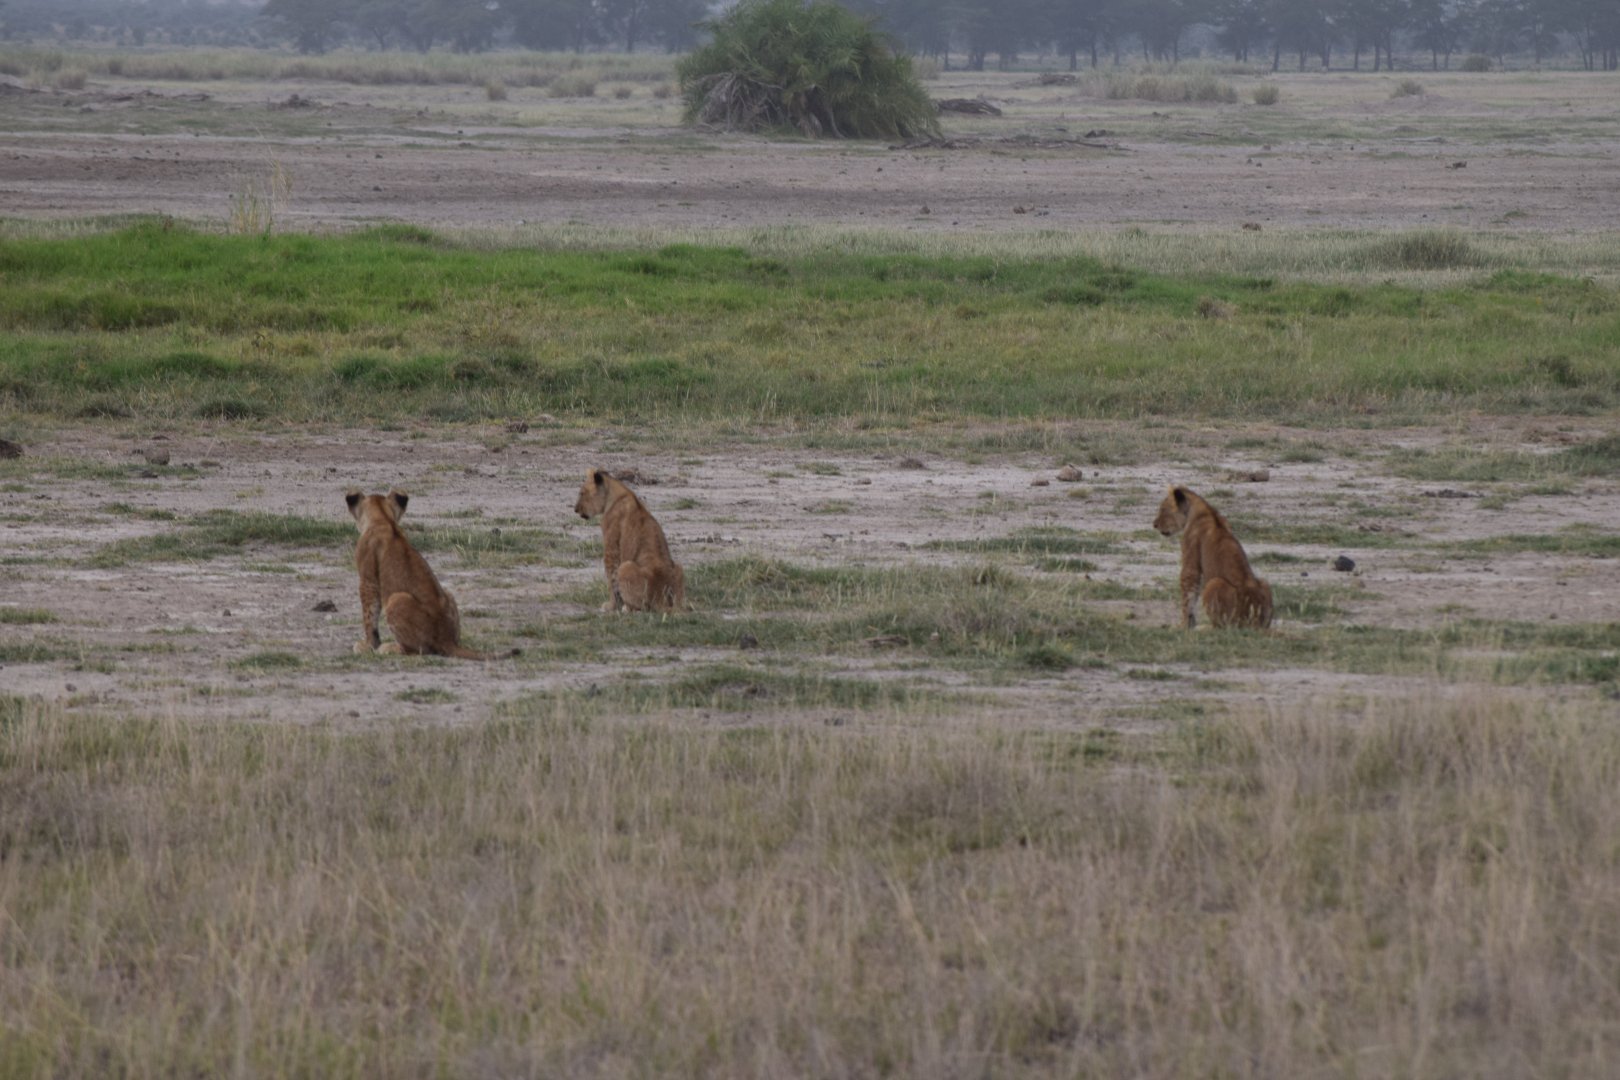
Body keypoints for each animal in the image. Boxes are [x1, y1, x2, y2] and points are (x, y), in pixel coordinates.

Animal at [346, 489, 519, 659]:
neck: (384, 519)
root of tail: (446, 639)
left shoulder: (368, 580)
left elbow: (369, 615)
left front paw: (368, 645)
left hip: (397, 599)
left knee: (416, 650)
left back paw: (388, 648)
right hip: (447, 593)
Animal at [573, 469, 685, 613]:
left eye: (582, 493)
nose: (575, 509)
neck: (617, 493)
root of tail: (661, 598)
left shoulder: (611, 547)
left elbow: (611, 579)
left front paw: (611, 606)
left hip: (626, 566)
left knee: (643, 607)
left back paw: (626, 608)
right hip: (679, 567)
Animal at [1152, 485, 1273, 630]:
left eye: (1164, 509)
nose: (1154, 524)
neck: (1206, 510)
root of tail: (1254, 623)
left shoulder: (1191, 561)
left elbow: (1188, 595)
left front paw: (1183, 625)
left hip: (1214, 583)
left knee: (1220, 627)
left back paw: (1203, 628)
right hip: (1265, 583)